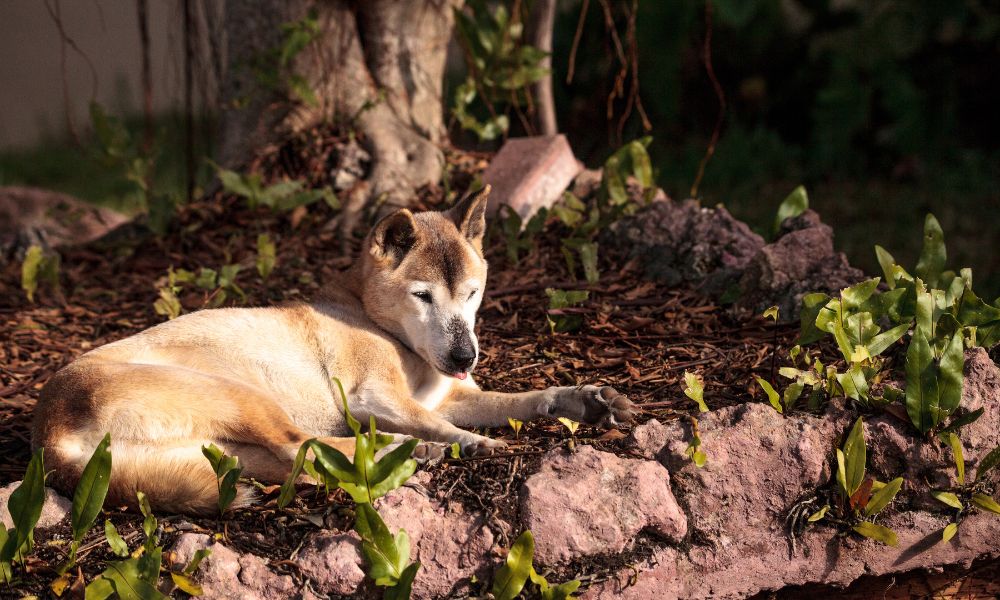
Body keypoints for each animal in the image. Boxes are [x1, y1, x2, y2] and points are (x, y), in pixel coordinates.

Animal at [37, 186, 640, 510]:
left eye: (472, 293)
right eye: (422, 295)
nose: (465, 358)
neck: (376, 319)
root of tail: (48, 436)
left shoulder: (451, 394)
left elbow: (520, 400)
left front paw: (584, 398)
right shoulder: (375, 397)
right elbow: (443, 422)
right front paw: (473, 442)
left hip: (222, 452)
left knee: (300, 457)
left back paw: (408, 451)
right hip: (241, 394)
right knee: (303, 444)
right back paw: (418, 451)